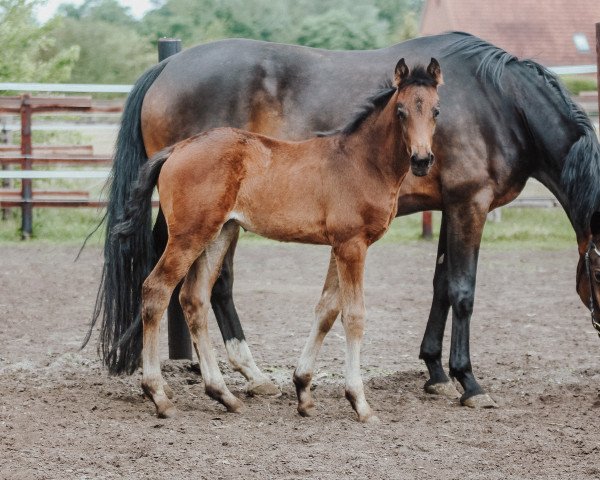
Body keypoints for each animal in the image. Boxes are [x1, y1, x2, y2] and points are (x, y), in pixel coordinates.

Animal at [117, 58, 442, 422]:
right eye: (400, 111)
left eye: (436, 111)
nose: (422, 160)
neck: (363, 162)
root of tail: (178, 149)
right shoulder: (352, 245)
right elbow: (354, 316)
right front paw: (359, 402)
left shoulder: (339, 246)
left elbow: (326, 310)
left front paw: (303, 392)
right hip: (189, 235)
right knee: (156, 290)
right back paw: (158, 395)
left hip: (219, 234)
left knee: (194, 298)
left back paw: (224, 395)